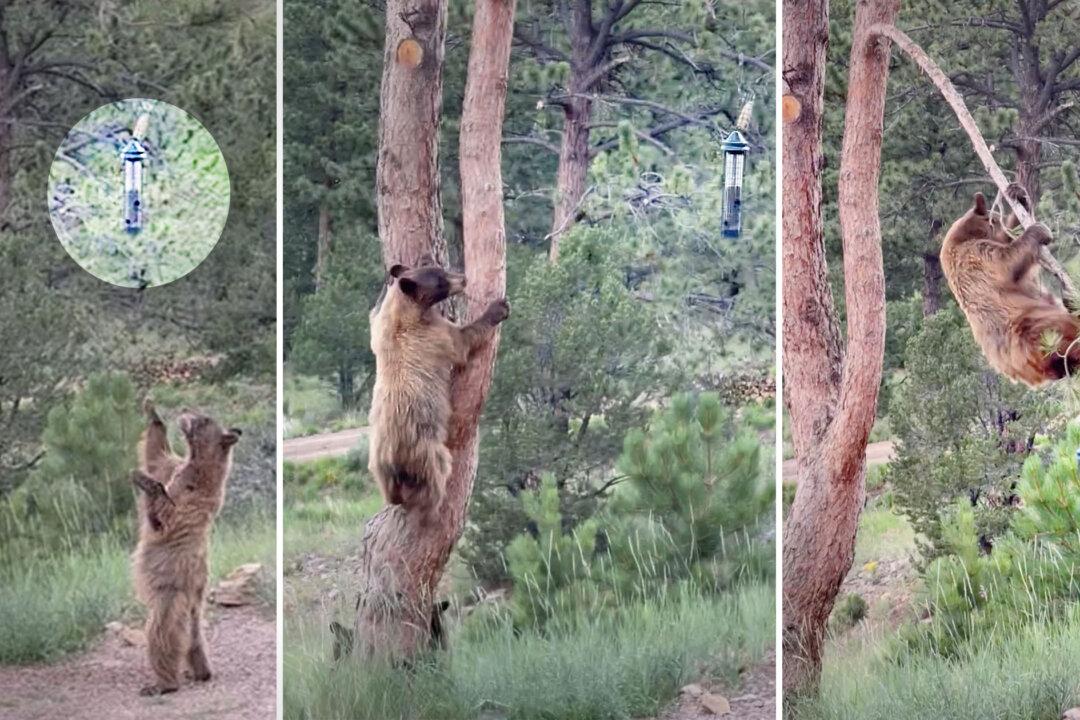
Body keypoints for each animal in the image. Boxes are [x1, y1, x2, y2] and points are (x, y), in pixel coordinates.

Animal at [131, 400, 241, 696]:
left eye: (204, 420)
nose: (184, 412)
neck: (198, 465)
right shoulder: (177, 469)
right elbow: (157, 457)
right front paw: (153, 412)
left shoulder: (193, 497)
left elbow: (168, 512)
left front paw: (144, 481)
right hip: (190, 606)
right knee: (193, 638)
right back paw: (201, 671)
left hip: (171, 595)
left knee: (162, 634)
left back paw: (162, 683)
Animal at [367, 258, 509, 516]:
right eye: (441, 281)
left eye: (441, 270)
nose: (463, 278)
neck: (406, 311)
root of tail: (393, 458)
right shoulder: (434, 335)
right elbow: (462, 341)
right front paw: (498, 308)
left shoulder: (380, 330)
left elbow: (374, 313)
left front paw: (391, 275)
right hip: (426, 451)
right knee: (437, 473)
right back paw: (435, 501)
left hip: (378, 463)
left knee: (388, 488)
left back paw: (394, 498)